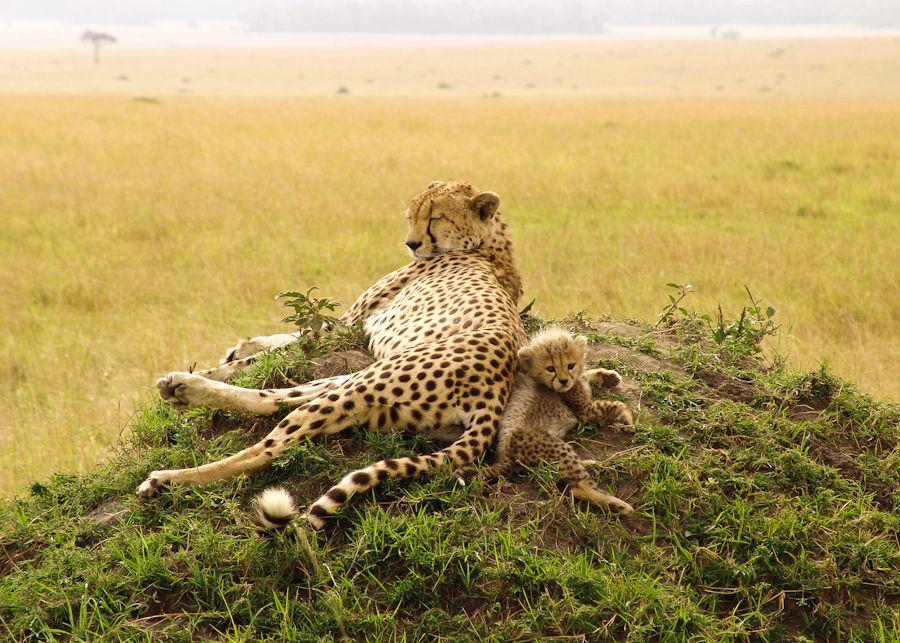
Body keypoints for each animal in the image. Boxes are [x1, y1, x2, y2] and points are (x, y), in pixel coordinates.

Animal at [140, 180, 528, 528]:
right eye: (411, 216)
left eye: (435, 217)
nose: (411, 243)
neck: (488, 247)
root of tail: (497, 395)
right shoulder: (347, 327)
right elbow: (283, 341)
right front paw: (239, 349)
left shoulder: (349, 325)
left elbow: (284, 348)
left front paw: (233, 358)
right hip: (358, 384)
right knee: (273, 399)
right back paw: (183, 387)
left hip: (361, 385)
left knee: (267, 449)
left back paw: (168, 479)